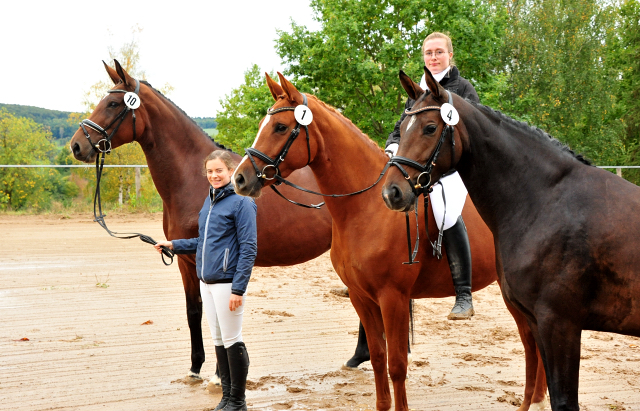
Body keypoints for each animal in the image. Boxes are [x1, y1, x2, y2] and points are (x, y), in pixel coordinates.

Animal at [69, 60, 330, 380]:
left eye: (113, 103)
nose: (76, 145)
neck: (196, 178)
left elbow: (214, 312)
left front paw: (219, 372)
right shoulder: (185, 258)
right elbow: (194, 311)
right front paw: (196, 367)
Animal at [232, 73, 548, 411]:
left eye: (280, 127)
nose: (240, 179)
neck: (365, 208)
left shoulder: (392, 297)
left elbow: (396, 364)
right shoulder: (362, 298)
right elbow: (378, 357)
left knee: (532, 341)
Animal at [380, 67, 640, 411]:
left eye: (430, 127)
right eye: (402, 127)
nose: (392, 192)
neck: (546, 201)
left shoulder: (560, 324)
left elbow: (563, 400)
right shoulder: (538, 322)